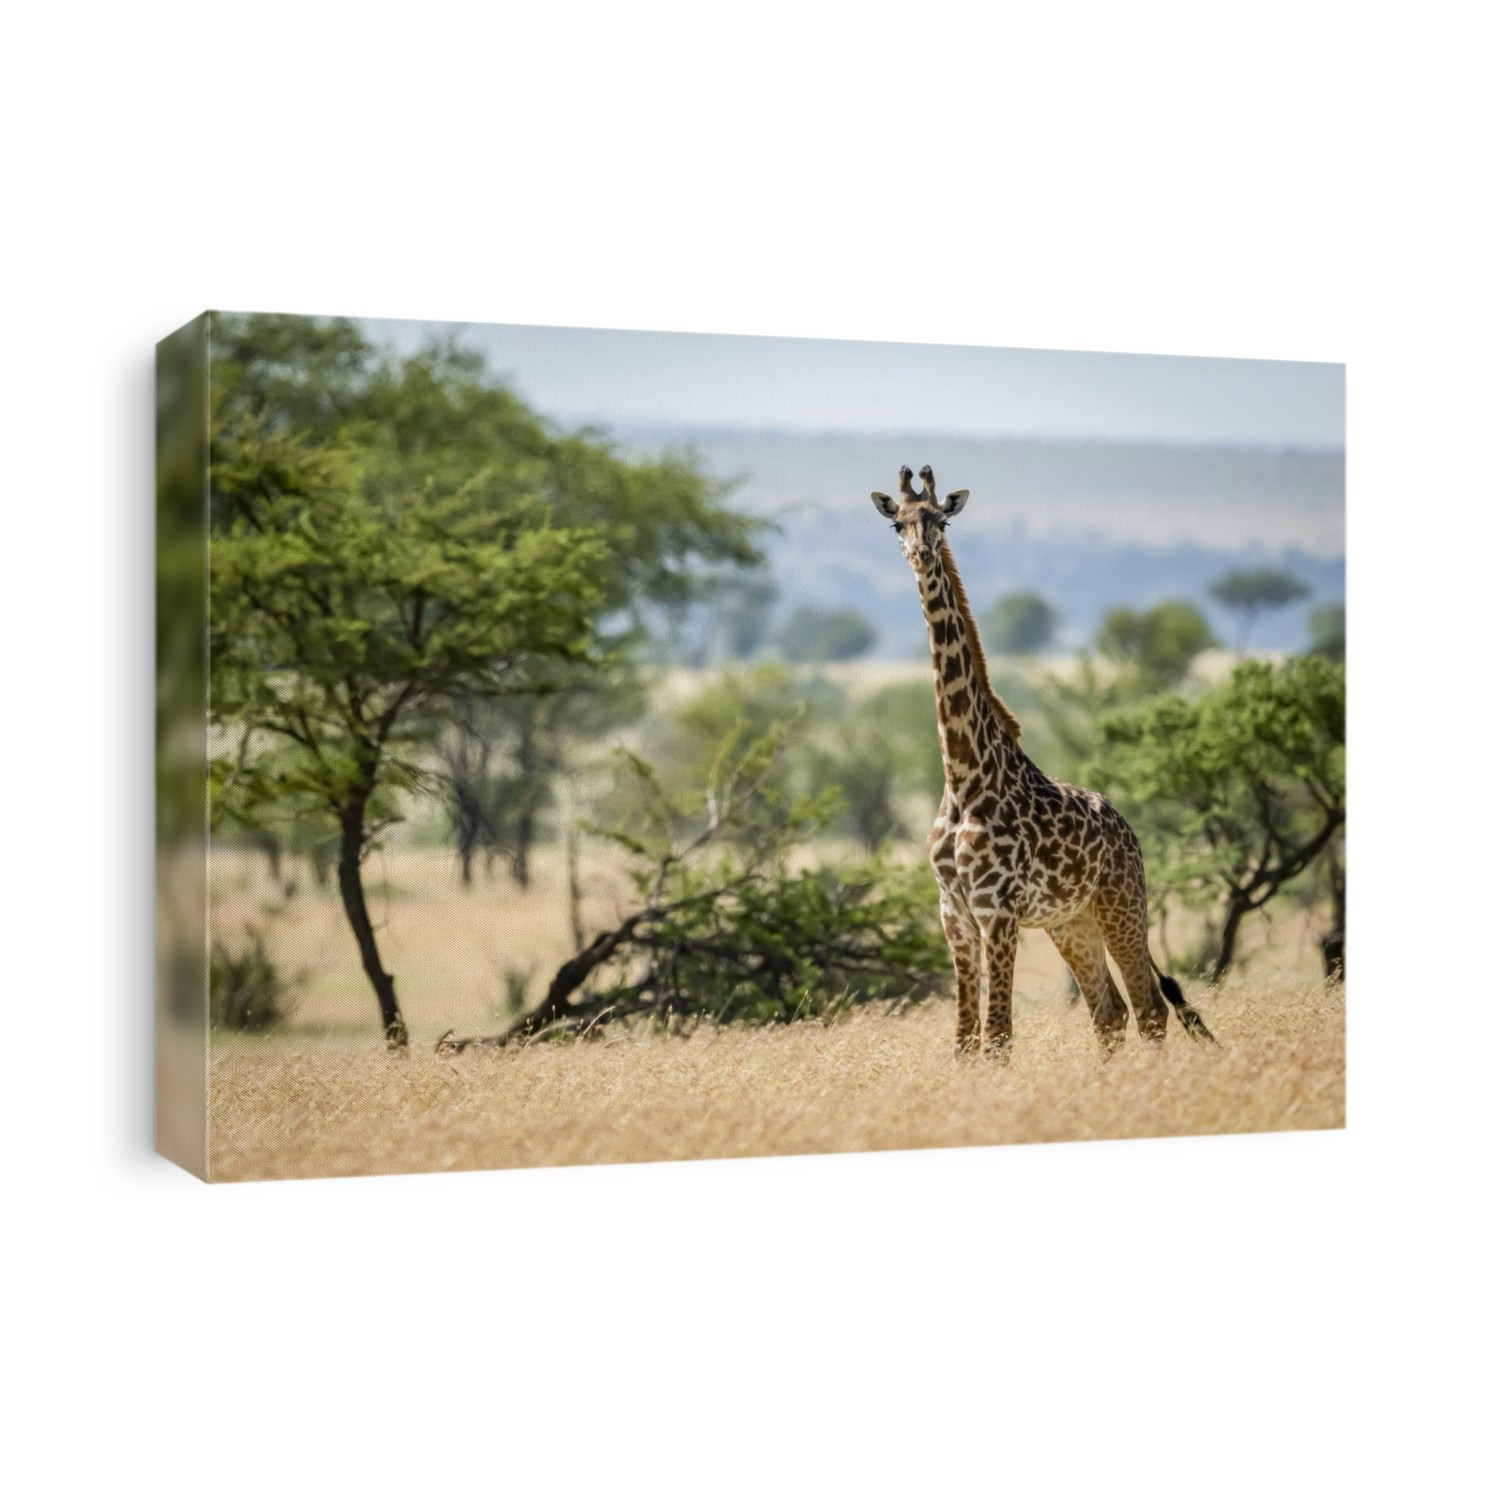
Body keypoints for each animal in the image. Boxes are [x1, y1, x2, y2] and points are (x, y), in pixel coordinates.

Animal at [871, 465, 1215, 1057]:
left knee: (1149, 1007)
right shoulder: (953, 912)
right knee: (1108, 1011)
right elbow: (965, 1040)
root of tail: (1130, 832)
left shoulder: (997, 909)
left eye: (940, 520)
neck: (963, 776)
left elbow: (998, 1037)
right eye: (898, 522)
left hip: (1122, 906)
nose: (920, 552)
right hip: (1072, 921)